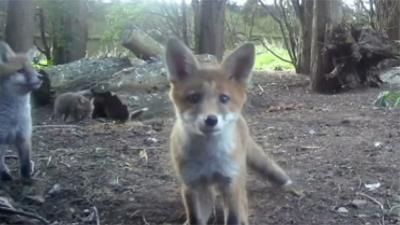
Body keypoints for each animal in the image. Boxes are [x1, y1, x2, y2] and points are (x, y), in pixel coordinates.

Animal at [0, 40, 41, 181]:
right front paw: (5, 175)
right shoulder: (1, 138)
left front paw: (27, 178)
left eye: (33, 68)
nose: (40, 76)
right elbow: (0, 163)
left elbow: (25, 161)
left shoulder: (24, 135)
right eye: (21, 71)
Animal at [164, 39, 292, 225]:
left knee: (242, 206)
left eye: (224, 98)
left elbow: (233, 217)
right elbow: (196, 219)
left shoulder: (231, 184)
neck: (209, 157)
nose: (211, 120)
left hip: (239, 179)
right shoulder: (193, 185)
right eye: (194, 98)